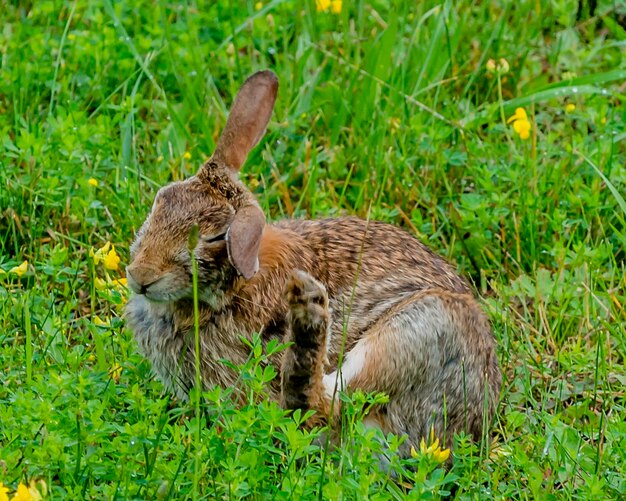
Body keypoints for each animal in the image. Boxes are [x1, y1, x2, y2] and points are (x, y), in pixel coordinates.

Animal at [124, 69, 500, 454]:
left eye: (215, 237)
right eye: (161, 200)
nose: (140, 276)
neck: (232, 288)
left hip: (420, 328)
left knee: (322, 407)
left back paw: (309, 316)